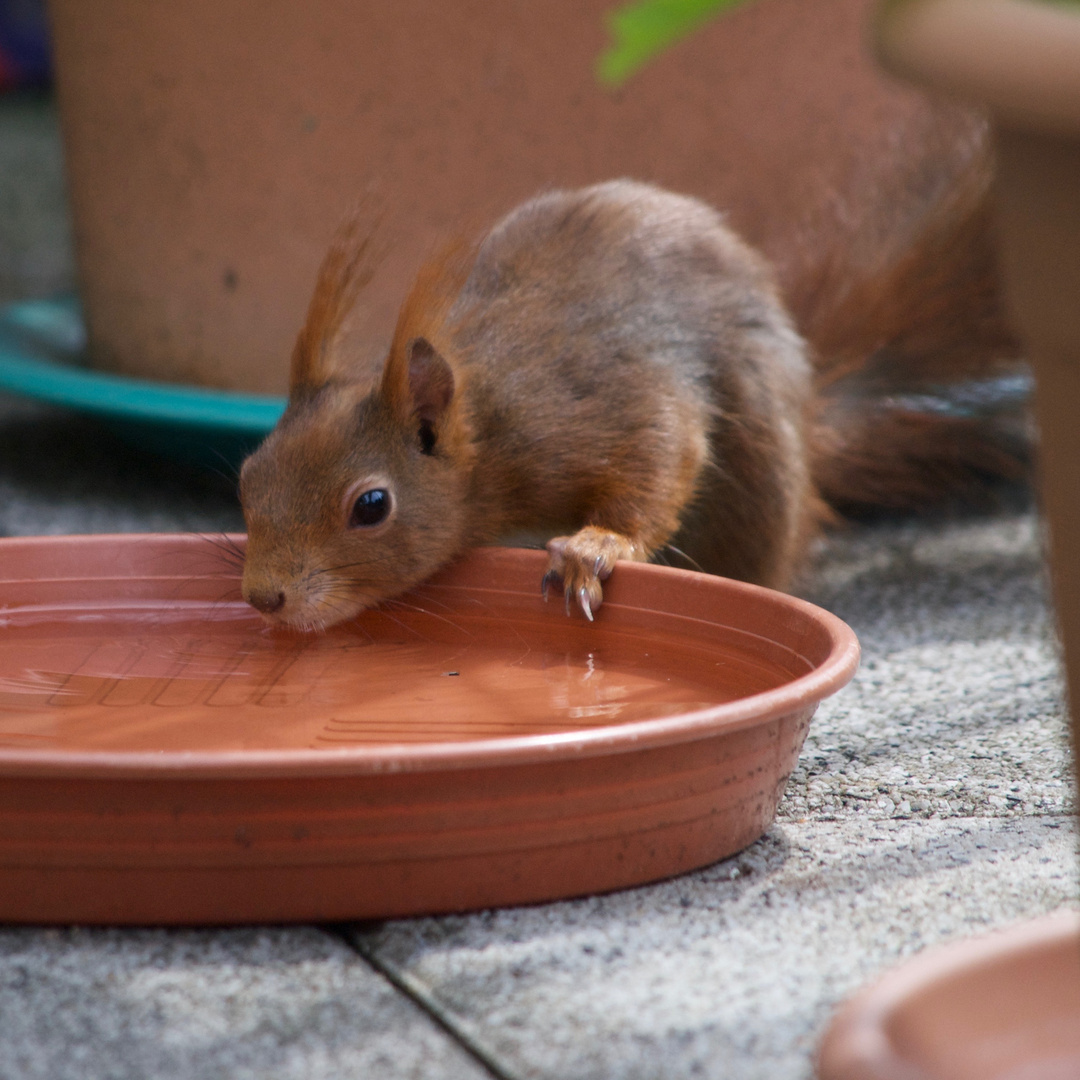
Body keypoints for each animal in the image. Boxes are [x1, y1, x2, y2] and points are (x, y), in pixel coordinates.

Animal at [236, 133, 1019, 630]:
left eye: (371, 506)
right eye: (247, 476)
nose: (264, 598)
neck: (488, 424)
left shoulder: (590, 404)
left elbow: (663, 452)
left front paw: (594, 549)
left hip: (759, 481)